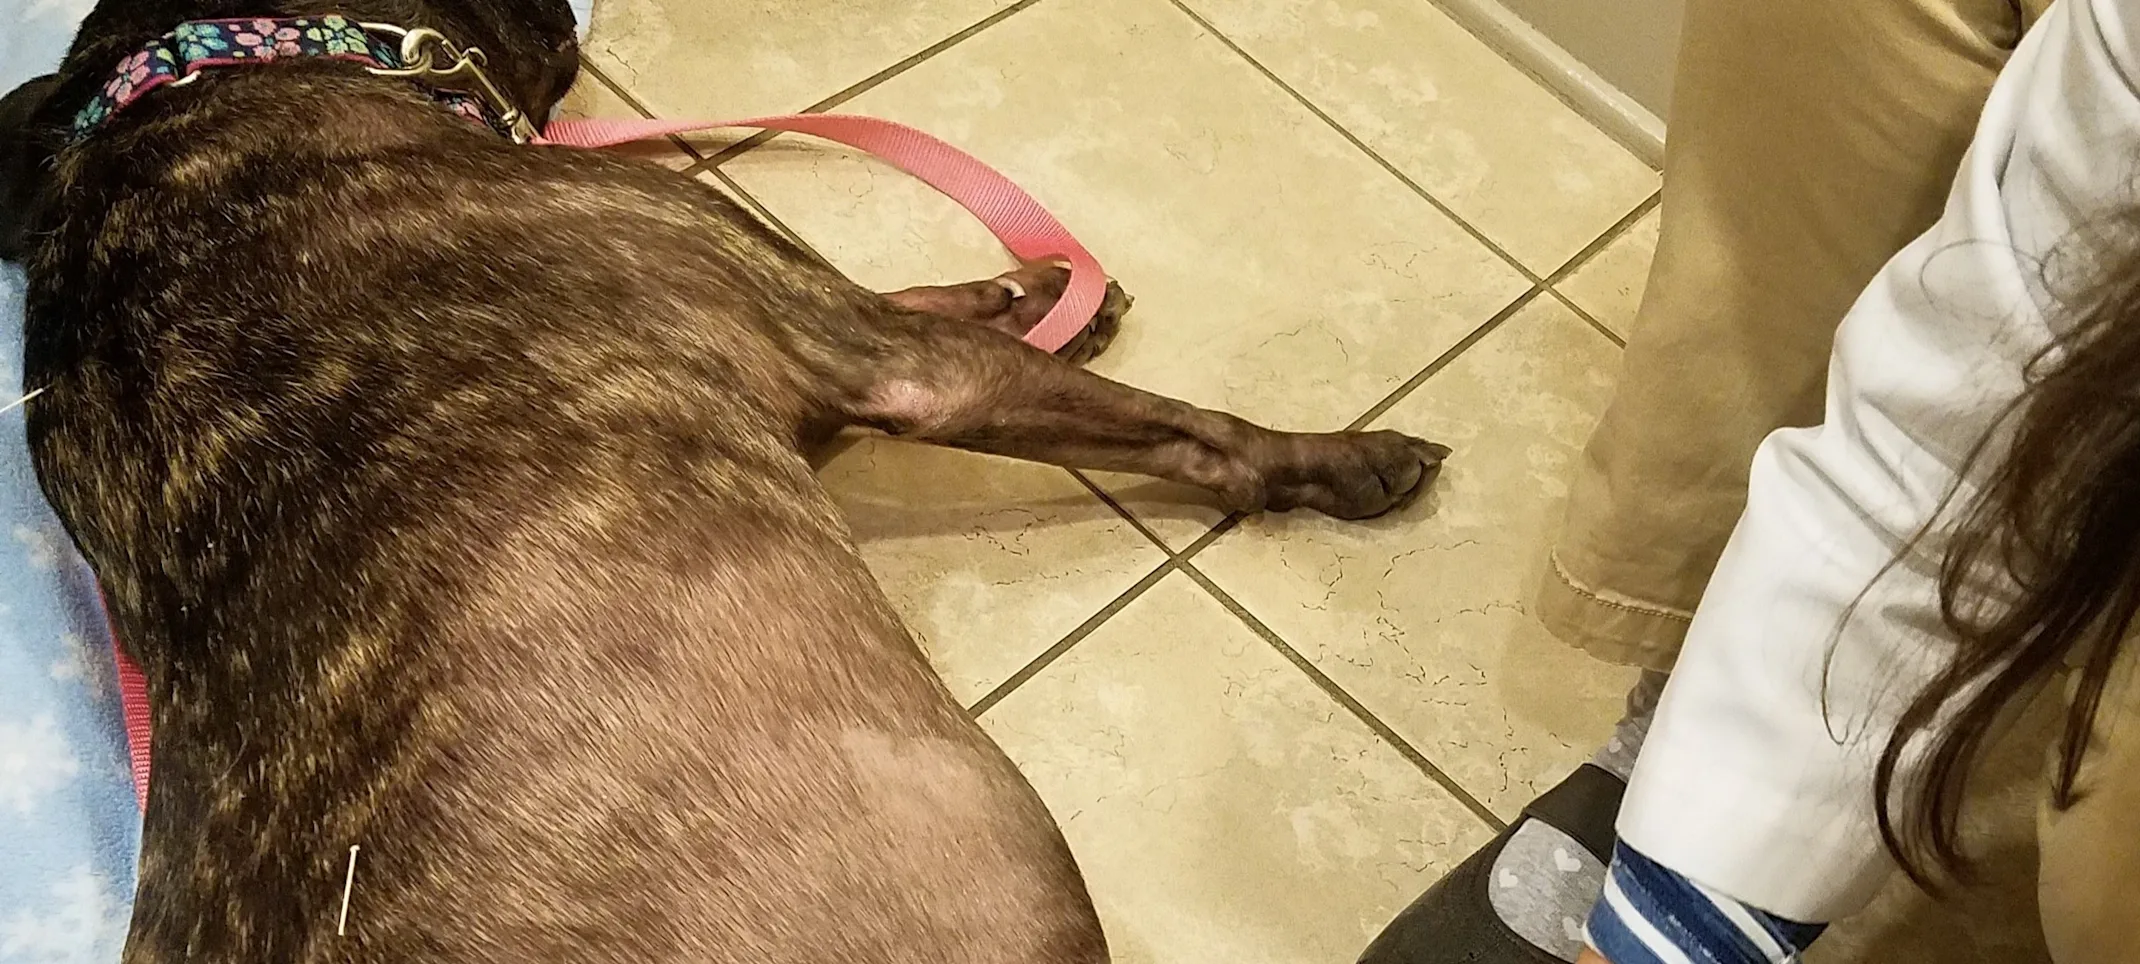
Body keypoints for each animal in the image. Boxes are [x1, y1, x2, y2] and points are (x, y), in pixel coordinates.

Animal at [0, 3, 1455, 959]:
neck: (193, 82)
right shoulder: (886, 360)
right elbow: (1181, 429)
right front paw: (1341, 457)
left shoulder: (819, 346)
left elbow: (940, 297)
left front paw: (1046, 290)